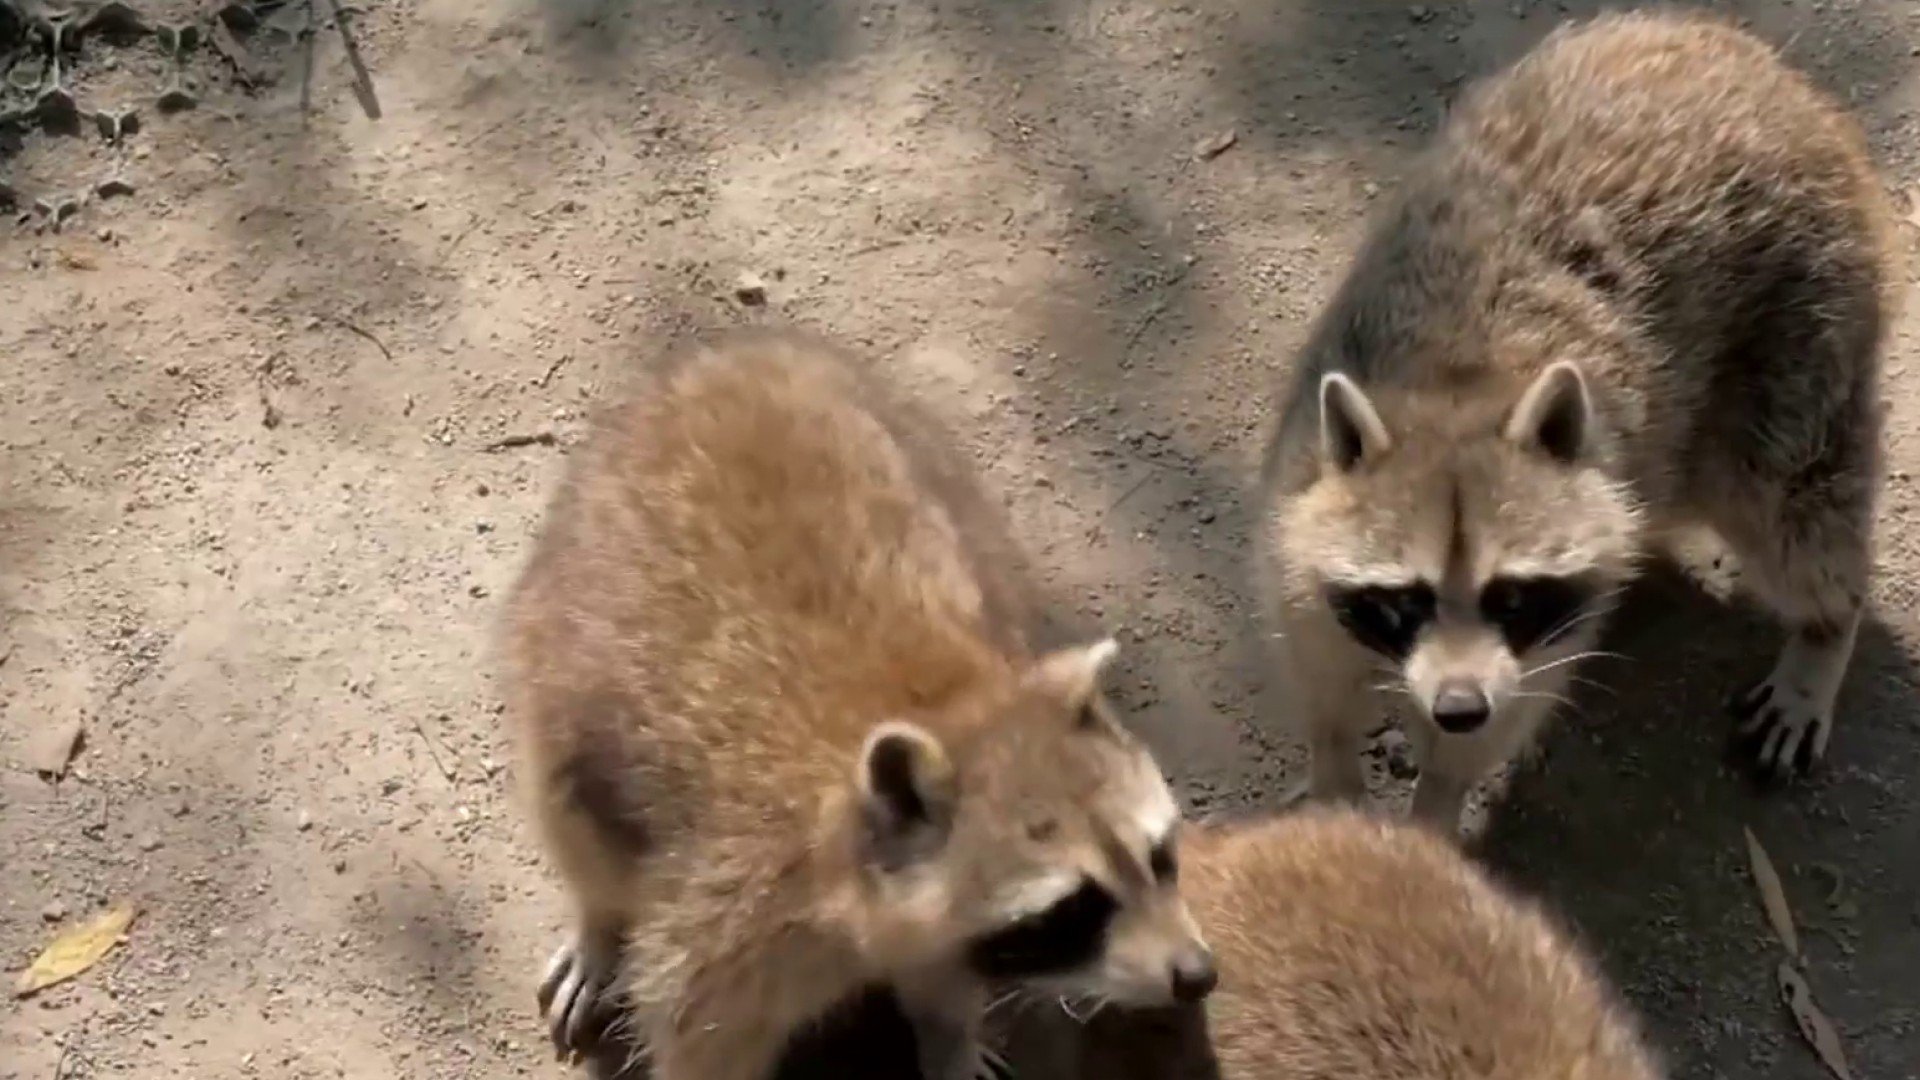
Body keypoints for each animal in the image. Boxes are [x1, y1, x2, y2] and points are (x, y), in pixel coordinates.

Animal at [502, 329, 1215, 1080]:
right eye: (1072, 909)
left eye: (1160, 854)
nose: (1198, 975)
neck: (945, 705)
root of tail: (733, 353)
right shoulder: (734, 916)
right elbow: (699, 1039)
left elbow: (941, 973)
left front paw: (949, 1036)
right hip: (553, 650)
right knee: (571, 815)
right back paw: (599, 920)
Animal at [1258, 11, 1897, 830]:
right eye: (1406, 599)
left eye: (1512, 597)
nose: (1457, 707)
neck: (1454, 386)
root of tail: (1770, 70)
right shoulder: (1298, 496)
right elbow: (1317, 665)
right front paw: (1335, 768)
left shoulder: (1540, 644)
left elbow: (1499, 721)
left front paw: (1436, 804)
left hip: (1805, 326)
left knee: (1791, 504)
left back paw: (1825, 628)